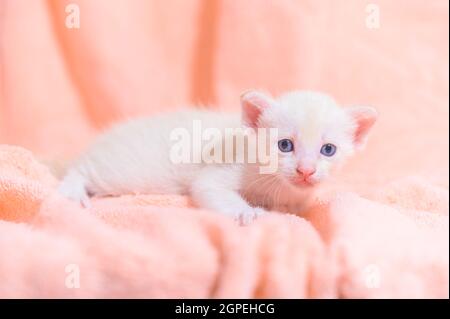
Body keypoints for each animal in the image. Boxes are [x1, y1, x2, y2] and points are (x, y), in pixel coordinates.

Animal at [59, 90, 376, 225]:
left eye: (328, 150)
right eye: (285, 145)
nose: (306, 170)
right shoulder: (221, 170)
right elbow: (210, 188)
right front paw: (246, 212)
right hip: (120, 172)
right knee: (80, 169)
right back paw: (73, 190)